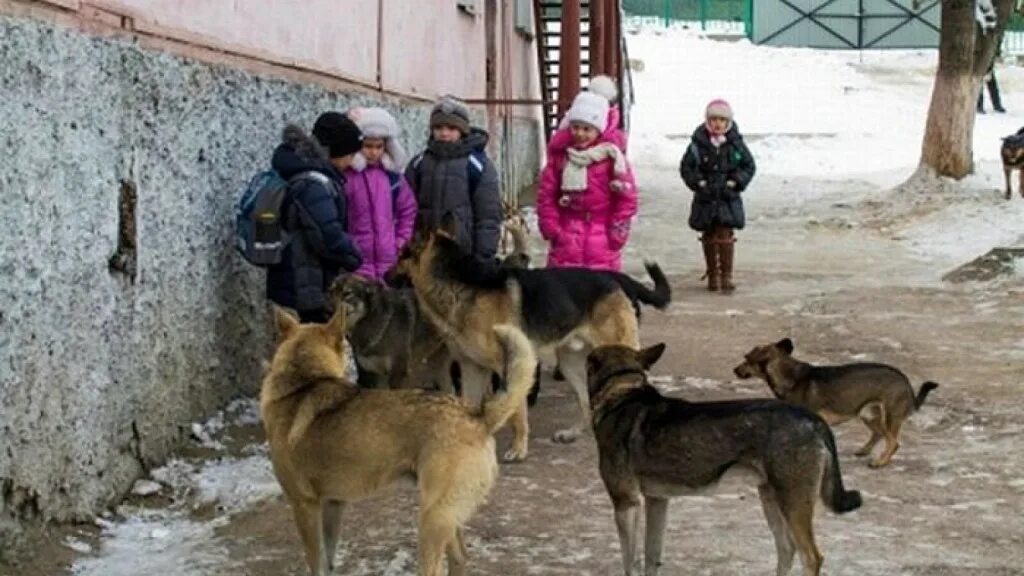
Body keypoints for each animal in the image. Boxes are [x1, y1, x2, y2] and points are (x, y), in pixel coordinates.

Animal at [260, 307, 536, 573]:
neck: (302, 384)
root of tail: (476, 415)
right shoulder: (333, 505)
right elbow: (328, 562)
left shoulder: (304, 506)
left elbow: (316, 563)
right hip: (447, 518)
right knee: (460, 558)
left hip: (431, 519)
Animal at [585, 342, 864, 569]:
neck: (622, 392)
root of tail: (813, 420)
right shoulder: (658, 500)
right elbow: (652, 558)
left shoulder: (626, 503)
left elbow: (629, 562)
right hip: (771, 499)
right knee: (786, 549)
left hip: (793, 503)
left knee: (811, 557)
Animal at [733, 336, 937, 467]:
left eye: (746, 358)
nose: (734, 370)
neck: (789, 375)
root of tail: (906, 381)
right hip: (868, 414)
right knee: (880, 434)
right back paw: (864, 451)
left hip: (889, 416)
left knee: (893, 442)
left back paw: (880, 462)